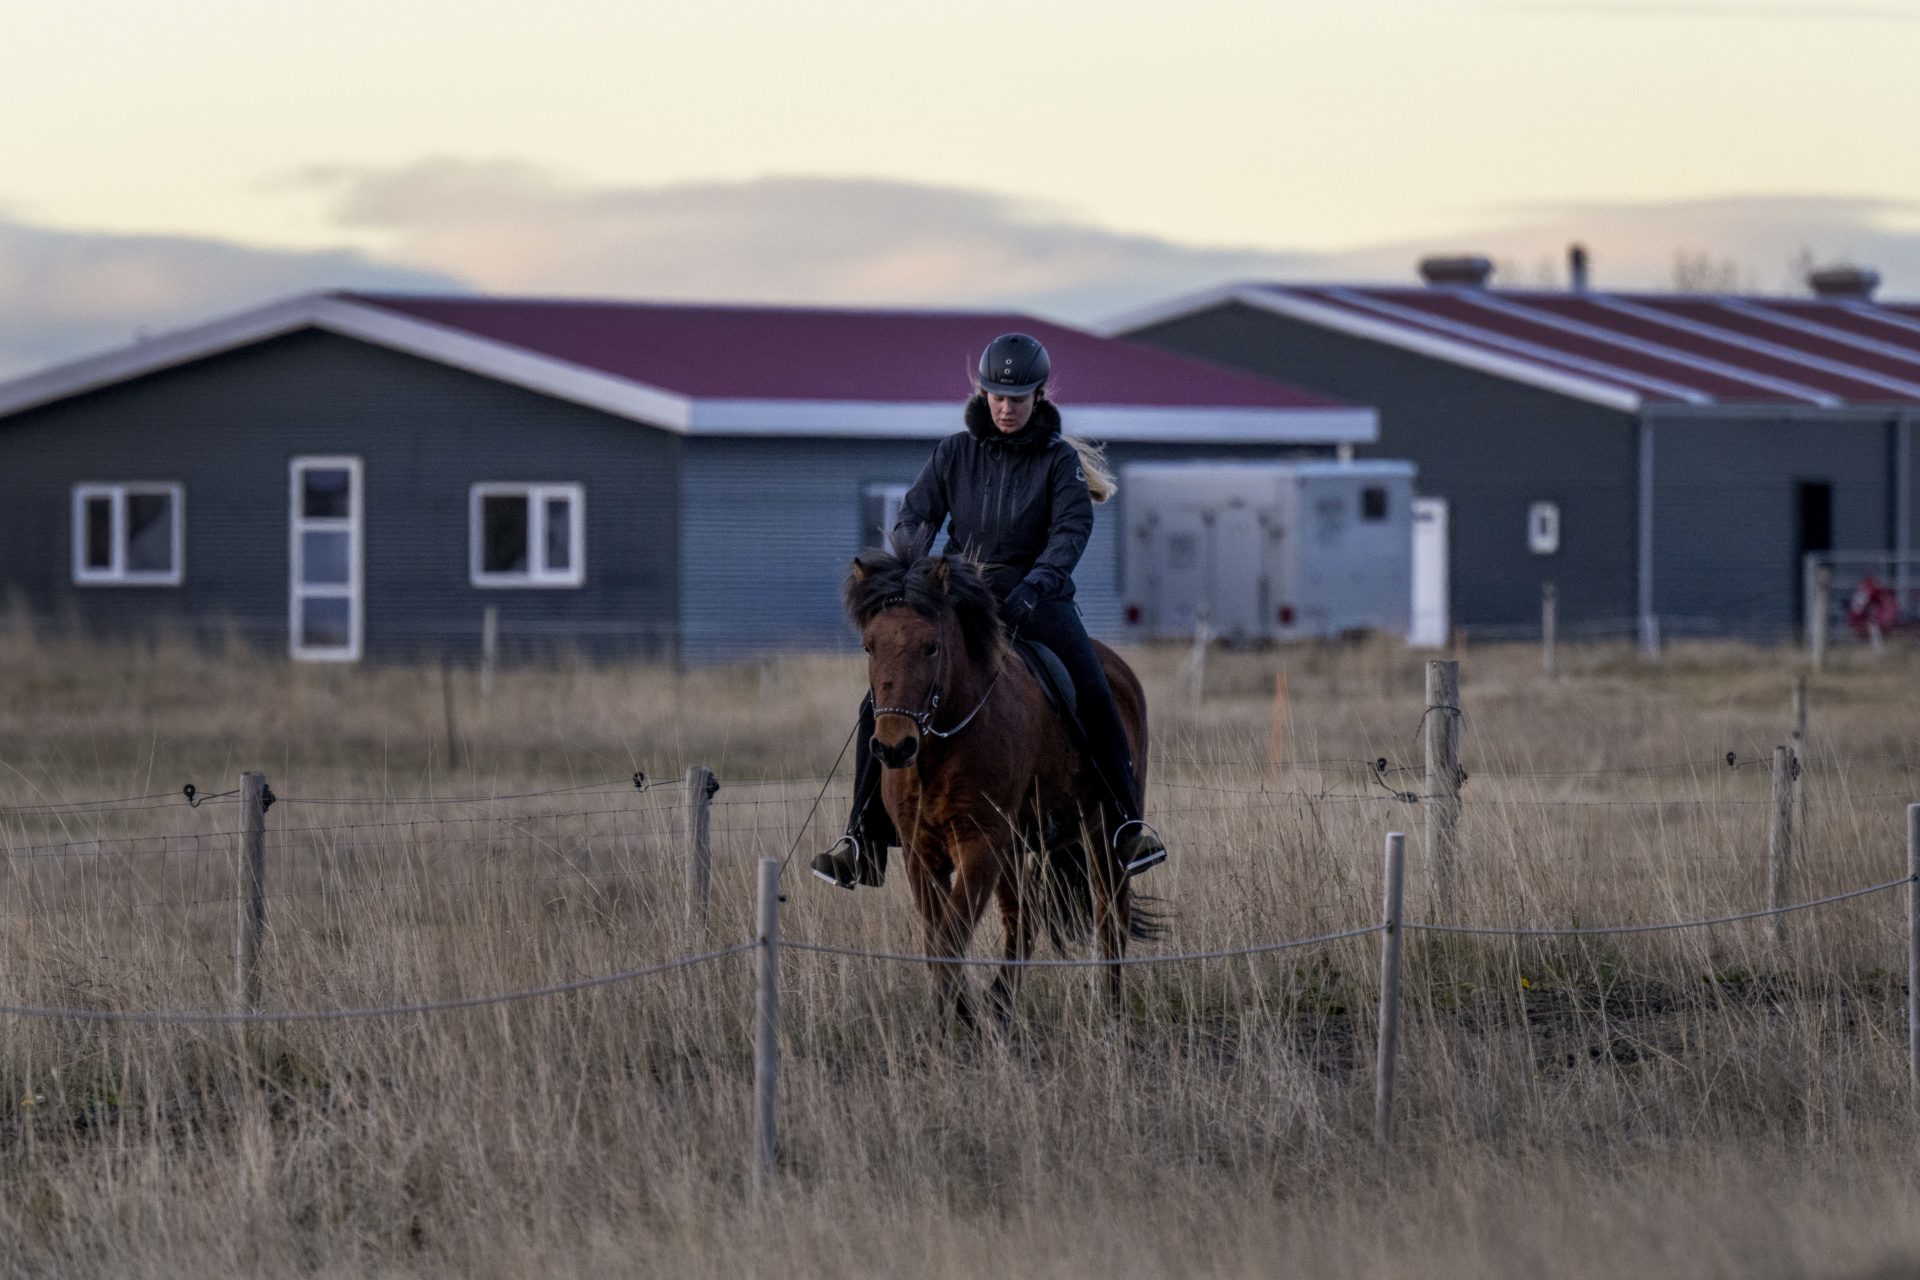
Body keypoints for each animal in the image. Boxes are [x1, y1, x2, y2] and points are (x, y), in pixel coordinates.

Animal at [852, 541, 1152, 1028]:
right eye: (869, 647)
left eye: (931, 647)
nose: (894, 748)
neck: (943, 743)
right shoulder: (922, 850)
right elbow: (938, 942)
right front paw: (963, 1016)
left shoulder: (980, 844)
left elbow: (952, 937)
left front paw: (952, 1023)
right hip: (1019, 846)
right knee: (1025, 920)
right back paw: (1002, 1006)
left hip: (1102, 832)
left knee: (1112, 916)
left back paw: (1109, 1012)